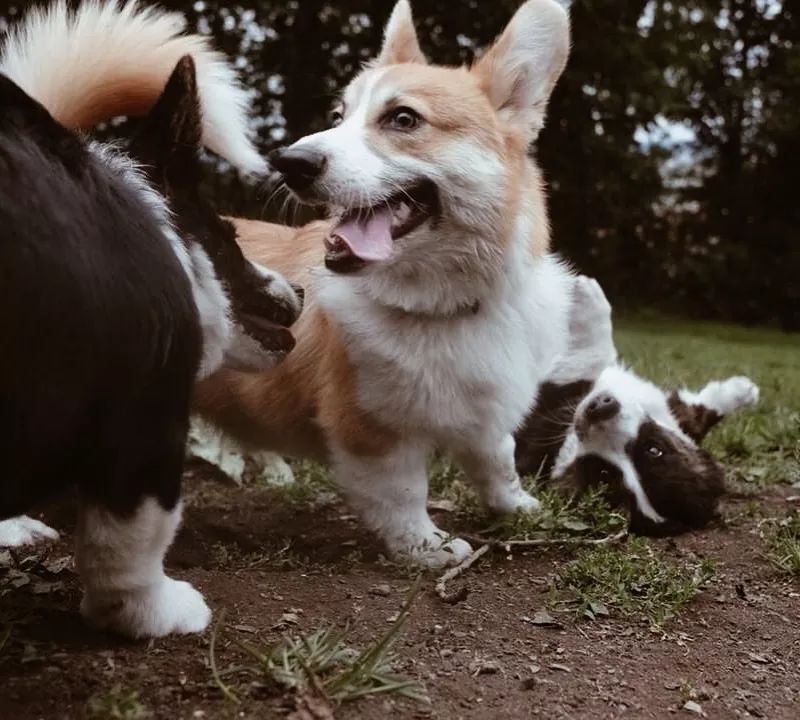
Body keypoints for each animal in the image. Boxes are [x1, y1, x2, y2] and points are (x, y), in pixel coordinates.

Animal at [516, 276, 760, 536]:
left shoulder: (549, 405)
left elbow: (586, 361)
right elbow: (695, 414)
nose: (601, 407)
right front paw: (744, 390)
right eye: (655, 449)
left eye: (603, 475)